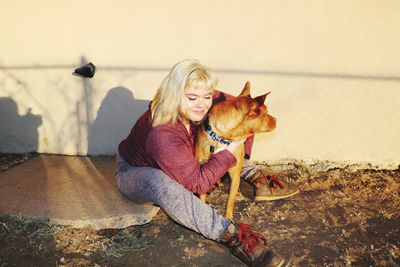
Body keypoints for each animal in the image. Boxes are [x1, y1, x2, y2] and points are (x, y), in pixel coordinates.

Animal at [195, 81, 276, 220]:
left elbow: (230, 201)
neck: (222, 138)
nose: (276, 120)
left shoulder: (235, 174)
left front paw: (228, 218)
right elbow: (202, 197)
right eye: (266, 112)